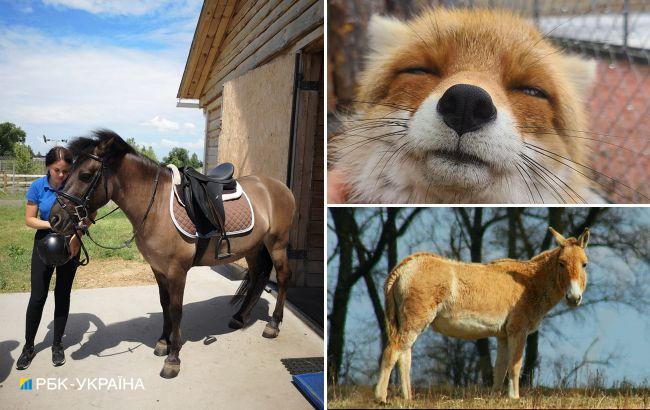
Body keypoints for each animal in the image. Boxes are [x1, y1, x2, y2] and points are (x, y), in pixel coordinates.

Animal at [49, 131, 294, 378]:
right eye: (67, 172)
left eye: (85, 175)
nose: (54, 219)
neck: (155, 206)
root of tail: (278, 186)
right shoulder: (158, 269)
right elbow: (164, 304)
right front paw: (163, 342)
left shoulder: (177, 271)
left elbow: (176, 310)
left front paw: (173, 358)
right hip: (253, 248)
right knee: (258, 276)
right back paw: (240, 317)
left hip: (277, 244)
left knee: (282, 276)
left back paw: (273, 325)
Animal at [374, 226, 588, 402]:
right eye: (562, 263)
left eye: (584, 264)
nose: (574, 297)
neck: (530, 282)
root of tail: (403, 268)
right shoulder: (518, 330)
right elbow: (515, 365)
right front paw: (515, 398)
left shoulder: (503, 336)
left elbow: (500, 368)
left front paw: (496, 398)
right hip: (415, 321)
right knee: (393, 351)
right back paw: (381, 397)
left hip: (409, 322)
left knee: (404, 356)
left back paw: (408, 398)